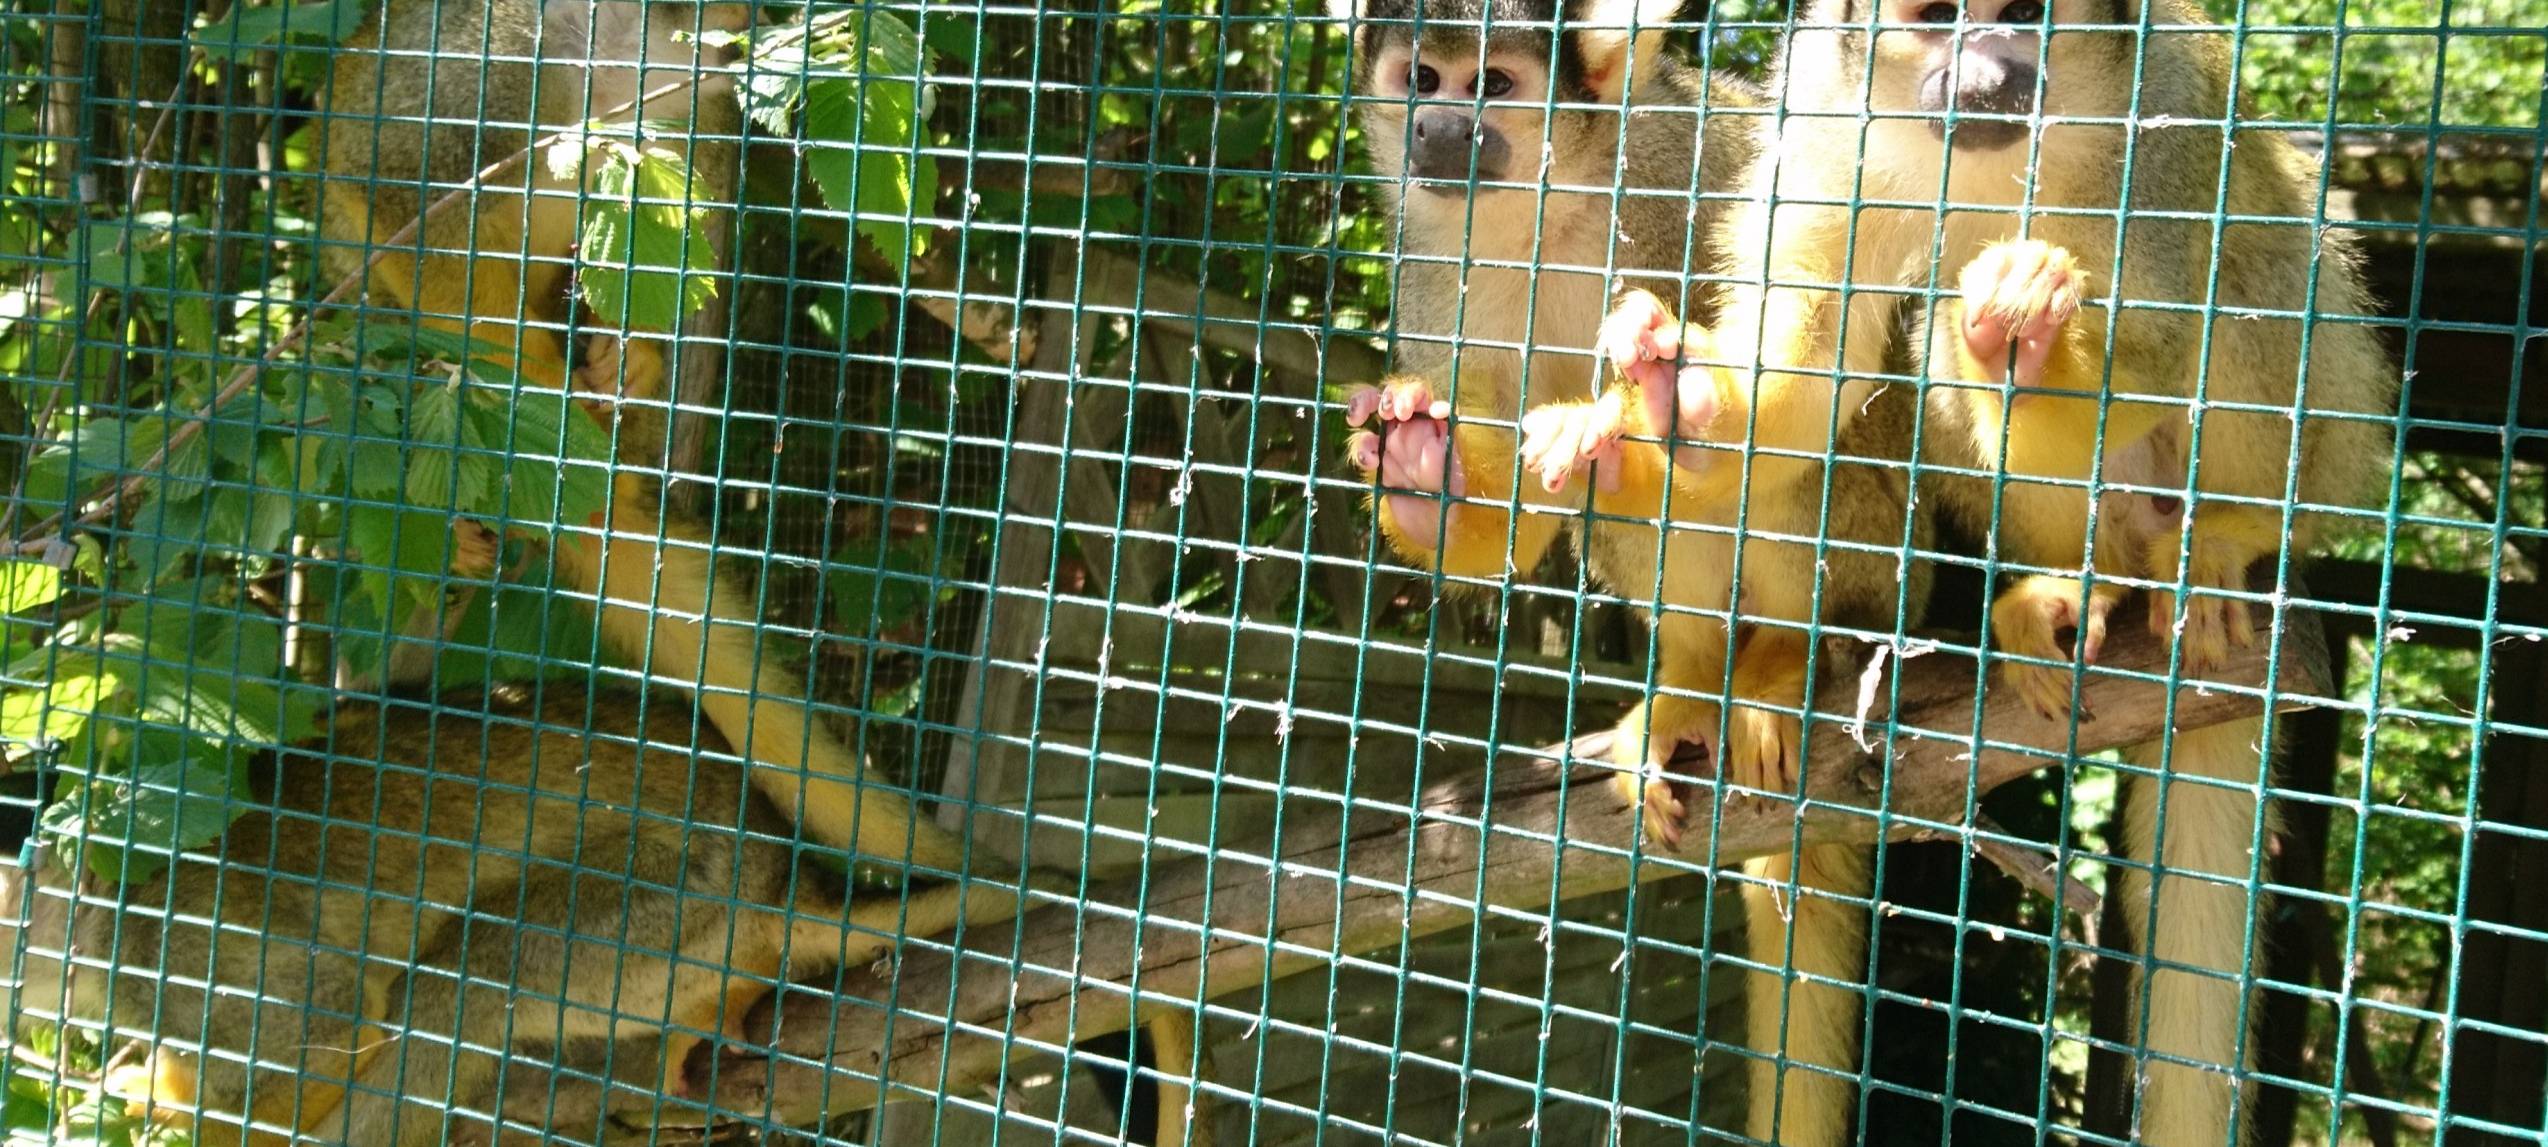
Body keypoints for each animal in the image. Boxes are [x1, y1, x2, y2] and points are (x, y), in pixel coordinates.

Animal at [0, 686, 1032, 1147]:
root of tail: (780, 872)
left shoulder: (187, 943)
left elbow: (334, 1016)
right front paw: (156, 1088)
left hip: (672, 889)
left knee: (455, 985)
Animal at [314, 0, 975, 875]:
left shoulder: (704, 107)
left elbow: (673, 256)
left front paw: (625, 363)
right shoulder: (501, 59)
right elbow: (400, 201)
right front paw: (549, 407)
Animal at [1328, 2, 1933, 1142]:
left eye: (1491, 85)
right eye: (1421, 76)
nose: (1435, 129)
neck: (1547, 208)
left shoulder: (1674, 169)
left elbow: (1779, 364)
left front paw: (1624, 409)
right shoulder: (1429, 259)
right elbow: (1512, 510)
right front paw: (1423, 472)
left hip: (1886, 547)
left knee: (1804, 455)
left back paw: (1786, 652)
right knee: (1616, 506)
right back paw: (1694, 676)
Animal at [1589, 0, 2399, 1142]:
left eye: (2021, 18)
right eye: (1936, 22)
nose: (1981, 79)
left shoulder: (2164, 123)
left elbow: (2172, 326)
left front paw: (2039, 347)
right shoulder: (1826, 128)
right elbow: (1807, 364)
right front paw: (1679, 399)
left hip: (2325, 450)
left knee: (2251, 281)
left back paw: (2214, 534)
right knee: (1936, 331)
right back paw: (2083, 574)